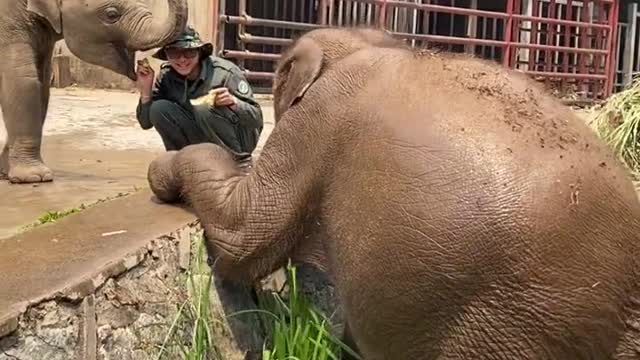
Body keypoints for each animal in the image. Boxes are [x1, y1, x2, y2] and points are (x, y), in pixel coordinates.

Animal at [0, 0, 189, 183]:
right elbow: (25, 82)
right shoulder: (8, 22)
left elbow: (42, 84)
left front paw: (8, 173)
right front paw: (34, 177)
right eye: (111, 14)